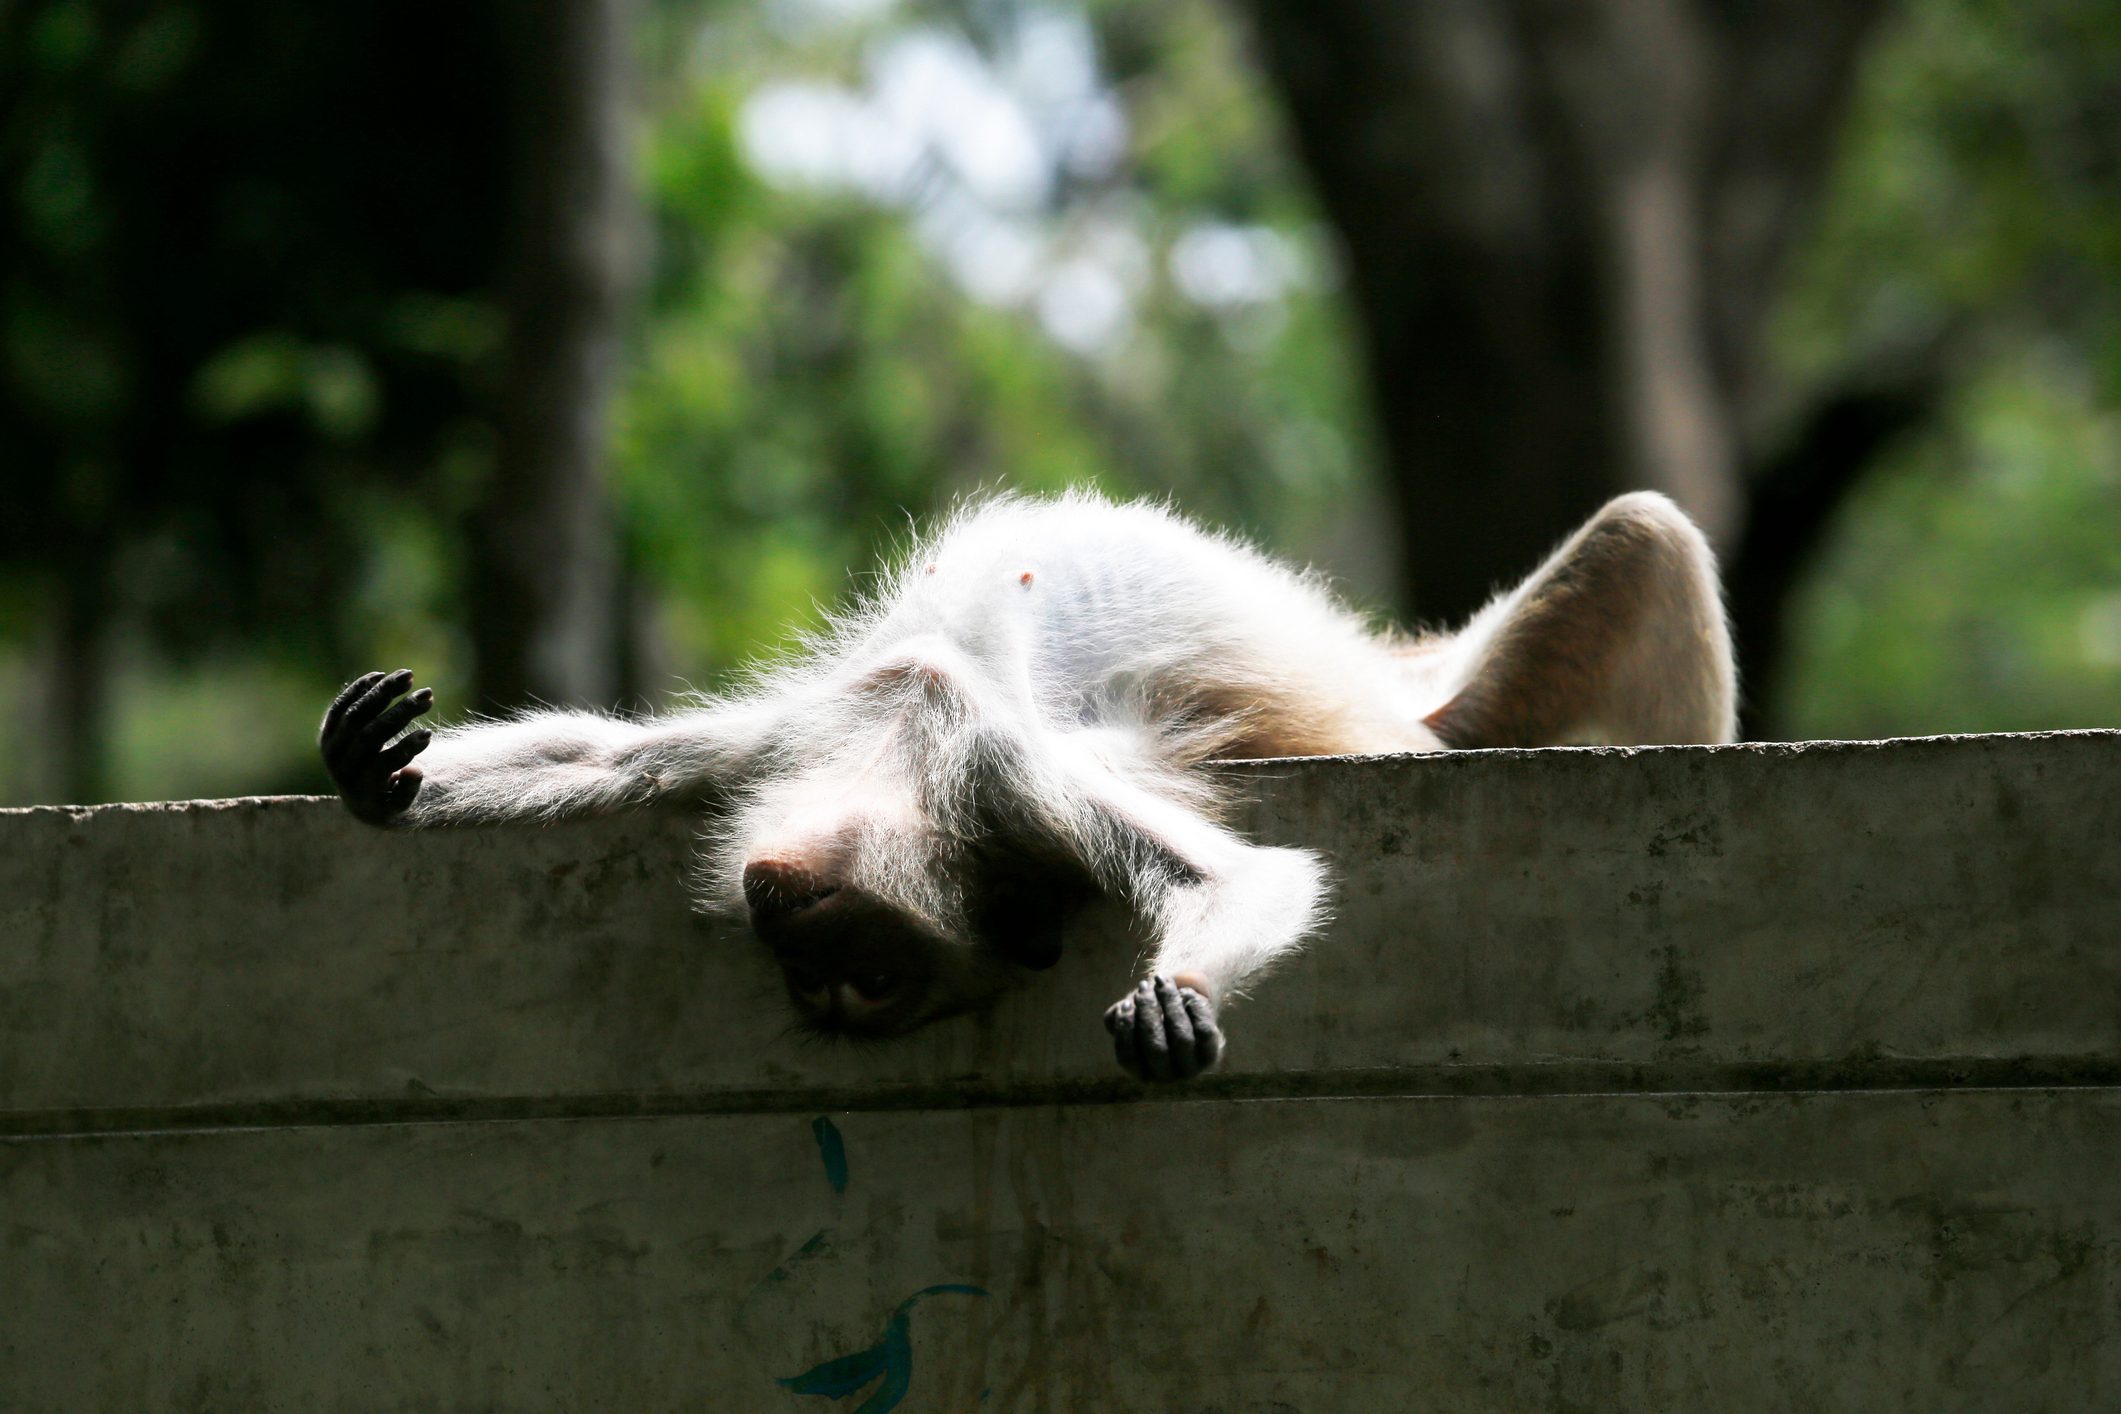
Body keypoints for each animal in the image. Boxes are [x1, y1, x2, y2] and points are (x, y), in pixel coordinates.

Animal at [321, 489, 1735, 1082]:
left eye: (862, 975)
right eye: (814, 979)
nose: (791, 943)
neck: (910, 728)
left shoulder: (1009, 769)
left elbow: (1244, 875)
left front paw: (1180, 993)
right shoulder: (801, 736)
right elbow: (616, 758)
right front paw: (371, 774)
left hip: (1440, 704)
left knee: (1646, 527)